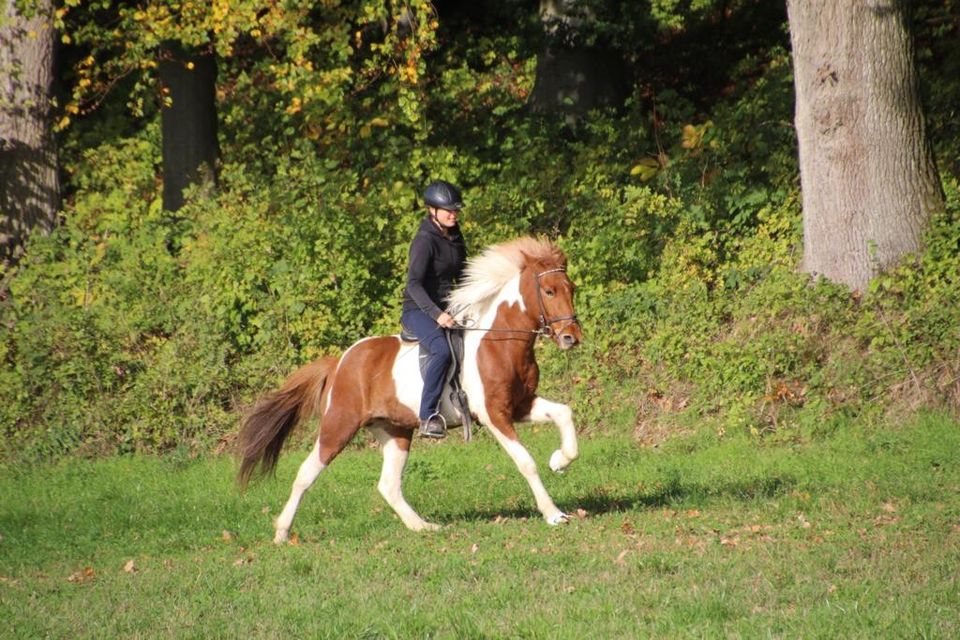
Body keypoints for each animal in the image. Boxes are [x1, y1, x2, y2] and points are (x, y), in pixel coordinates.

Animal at [238, 236, 584, 540]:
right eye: (549, 290)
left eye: (572, 289)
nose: (571, 337)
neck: (500, 342)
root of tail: (340, 362)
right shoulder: (494, 414)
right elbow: (526, 462)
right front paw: (554, 513)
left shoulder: (521, 404)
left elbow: (564, 414)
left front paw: (559, 461)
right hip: (339, 424)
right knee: (307, 472)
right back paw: (282, 532)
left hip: (395, 430)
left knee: (388, 485)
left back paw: (423, 527)